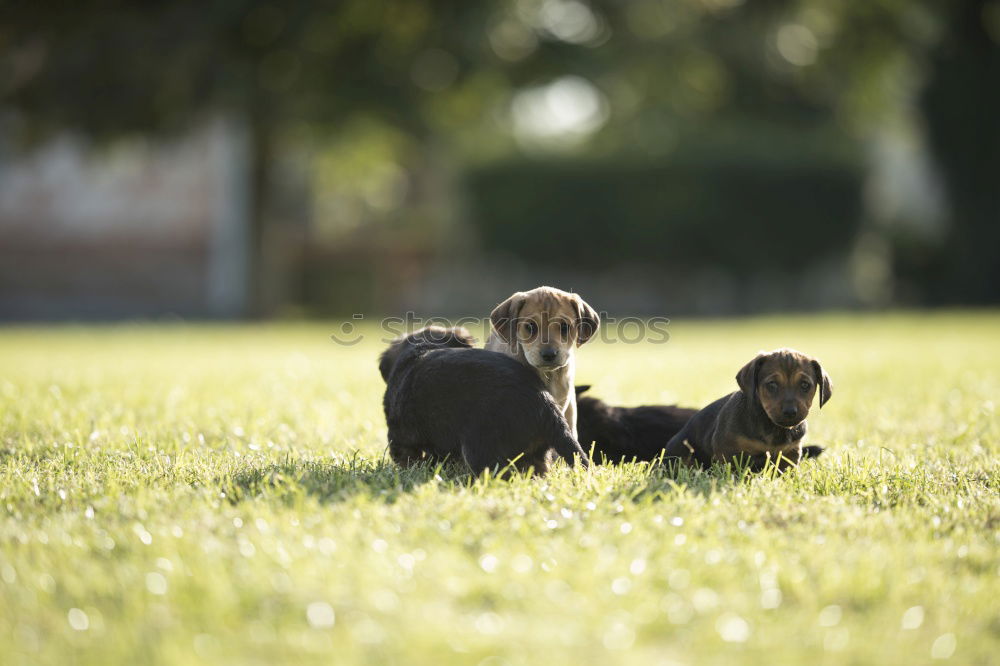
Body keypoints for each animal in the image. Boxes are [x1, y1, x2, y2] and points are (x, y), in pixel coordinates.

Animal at [664, 344, 828, 470]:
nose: (790, 412)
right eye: (772, 384)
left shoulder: (791, 452)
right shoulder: (726, 450)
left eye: (805, 385)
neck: (771, 427)